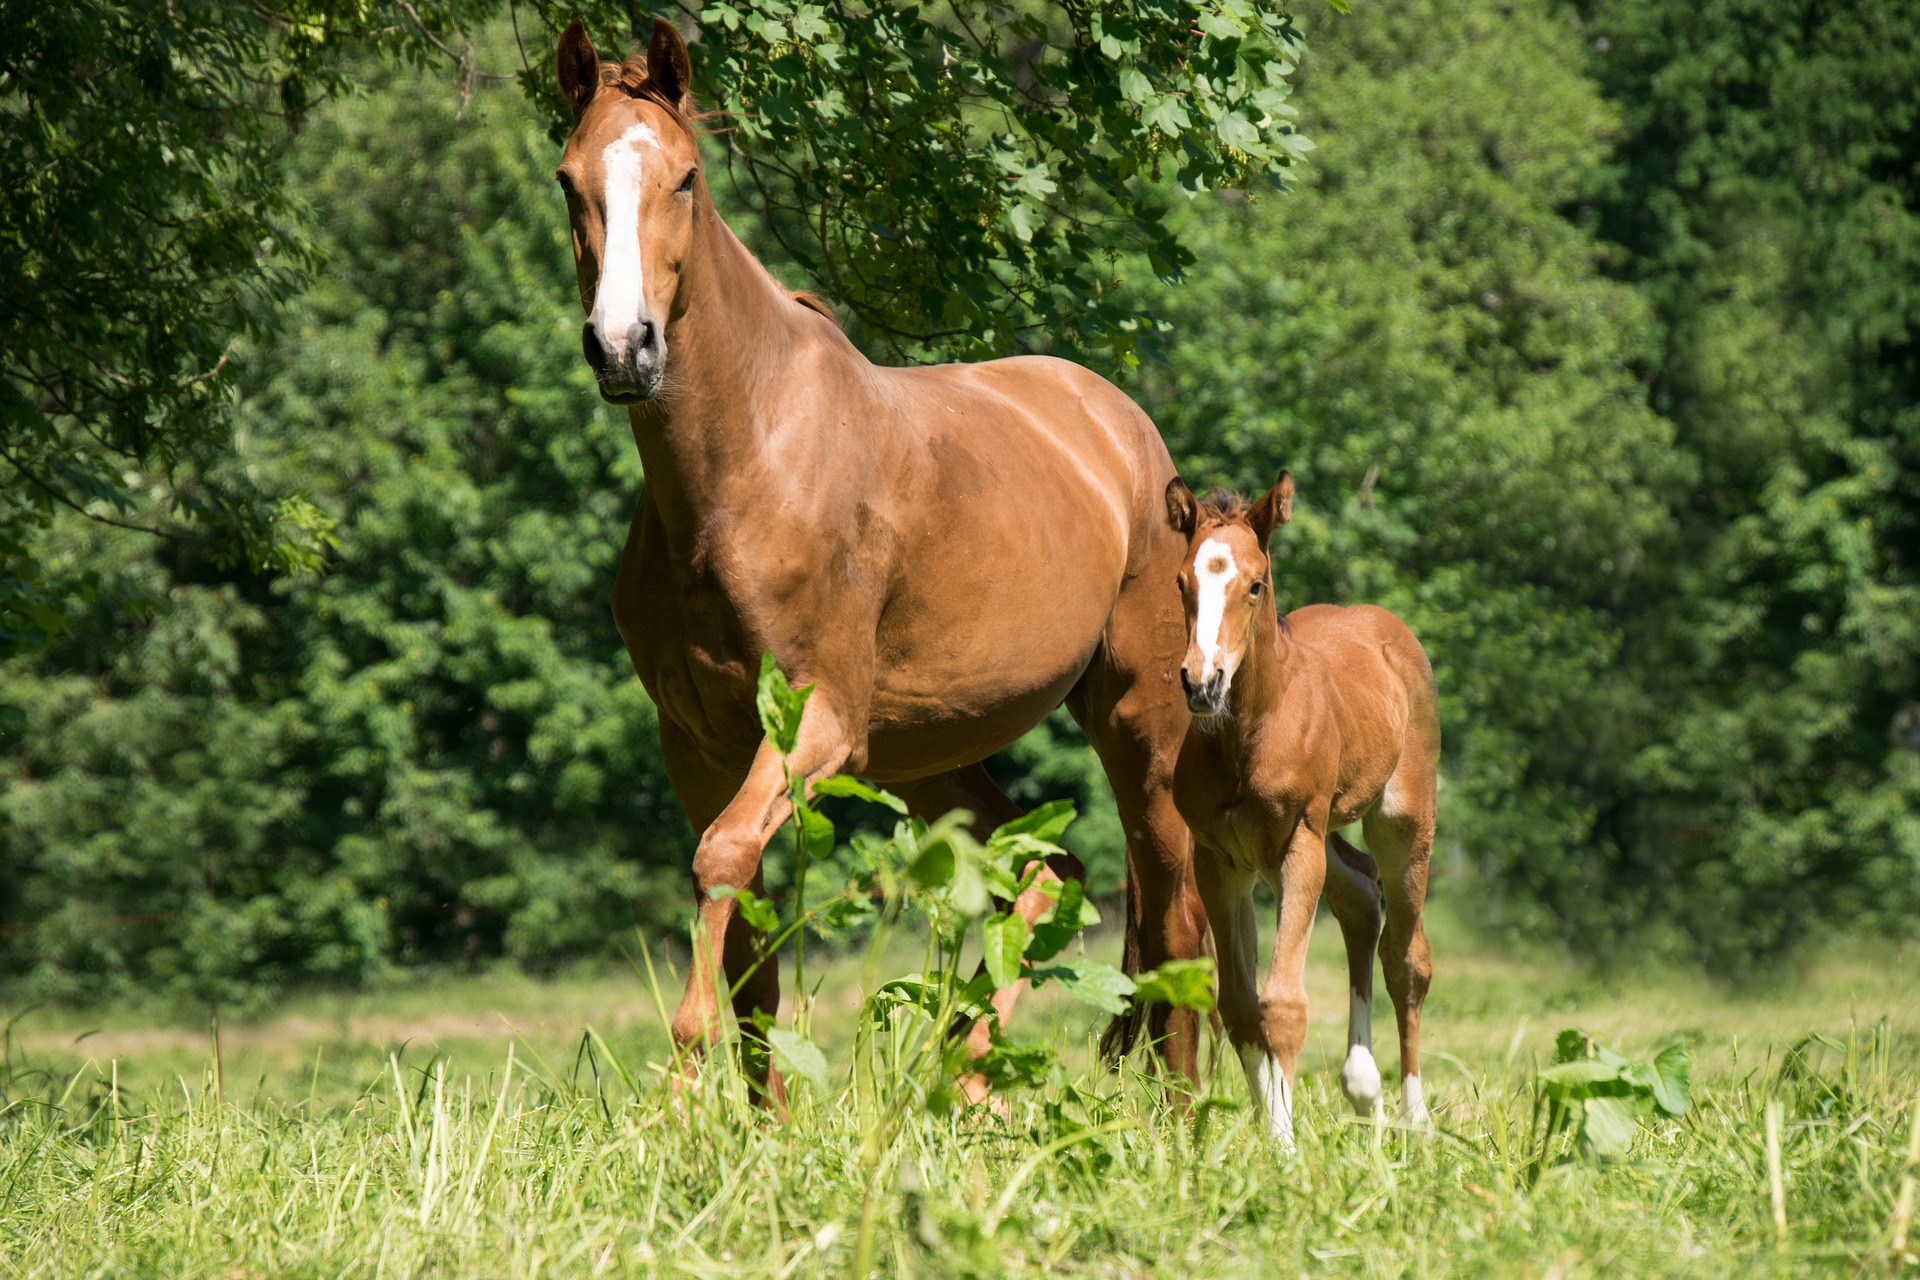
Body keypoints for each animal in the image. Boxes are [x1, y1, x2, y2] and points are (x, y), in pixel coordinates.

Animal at [549, 17, 1198, 1105]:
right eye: (569, 179)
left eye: (684, 177)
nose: (624, 348)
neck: (746, 463)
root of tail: (1122, 429)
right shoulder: (701, 739)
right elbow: (747, 929)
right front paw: (755, 1118)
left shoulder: (819, 721)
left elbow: (722, 857)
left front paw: (682, 1079)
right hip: (930, 750)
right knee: (1045, 873)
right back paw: (969, 1076)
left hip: (1133, 718)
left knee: (1173, 895)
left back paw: (1174, 1098)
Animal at [1152, 474, 1443, 1151]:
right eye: (1181, 582)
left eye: (1255, 584)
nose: (1201, 682)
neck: (1248, 736)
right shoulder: (1221, 861)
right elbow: (1239, 1006)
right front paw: (1267, 1125)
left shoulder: (1296, 845)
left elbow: (1282, 1004)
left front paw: (1283, 1149)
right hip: (1326, 831)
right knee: (1360, 894)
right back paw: (1363, 1089)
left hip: (1401, 822)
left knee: (1406, 957)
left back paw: (1414, 1116)